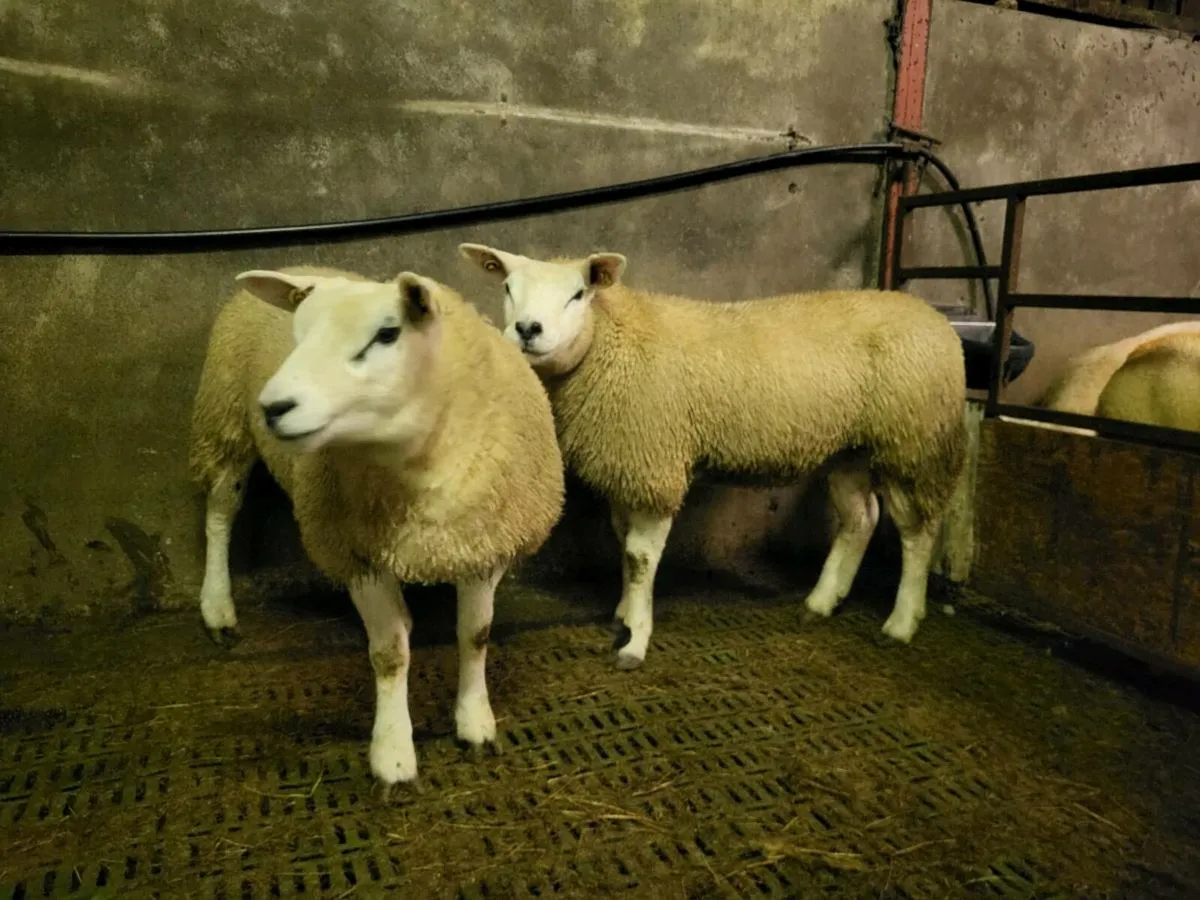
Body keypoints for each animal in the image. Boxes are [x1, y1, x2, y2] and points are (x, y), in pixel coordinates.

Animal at [189, 265, 565, 792]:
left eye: (387, 334)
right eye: (298, 334)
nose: (274, 407)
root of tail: (302, 263)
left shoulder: (482, 543)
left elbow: (475, 635)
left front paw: (475, 723)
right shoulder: (355, 554)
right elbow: (389, 656)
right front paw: (393, 755)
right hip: (225, 421)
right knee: (221, 513)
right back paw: (217, 605)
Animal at [459, 243, 967, 669]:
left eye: (579, 294)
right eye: (507, 287)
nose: (527, 329)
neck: (610, 341)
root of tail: (934, 319)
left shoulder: (655, 463)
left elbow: (640, 557)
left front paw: (635, 640)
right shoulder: (631, 465)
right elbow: (623, 545)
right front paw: (624, 613)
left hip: (914, 443)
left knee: (918, 532)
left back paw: (900, 622)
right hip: (850, 450)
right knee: (860, 519)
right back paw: (821, 602)